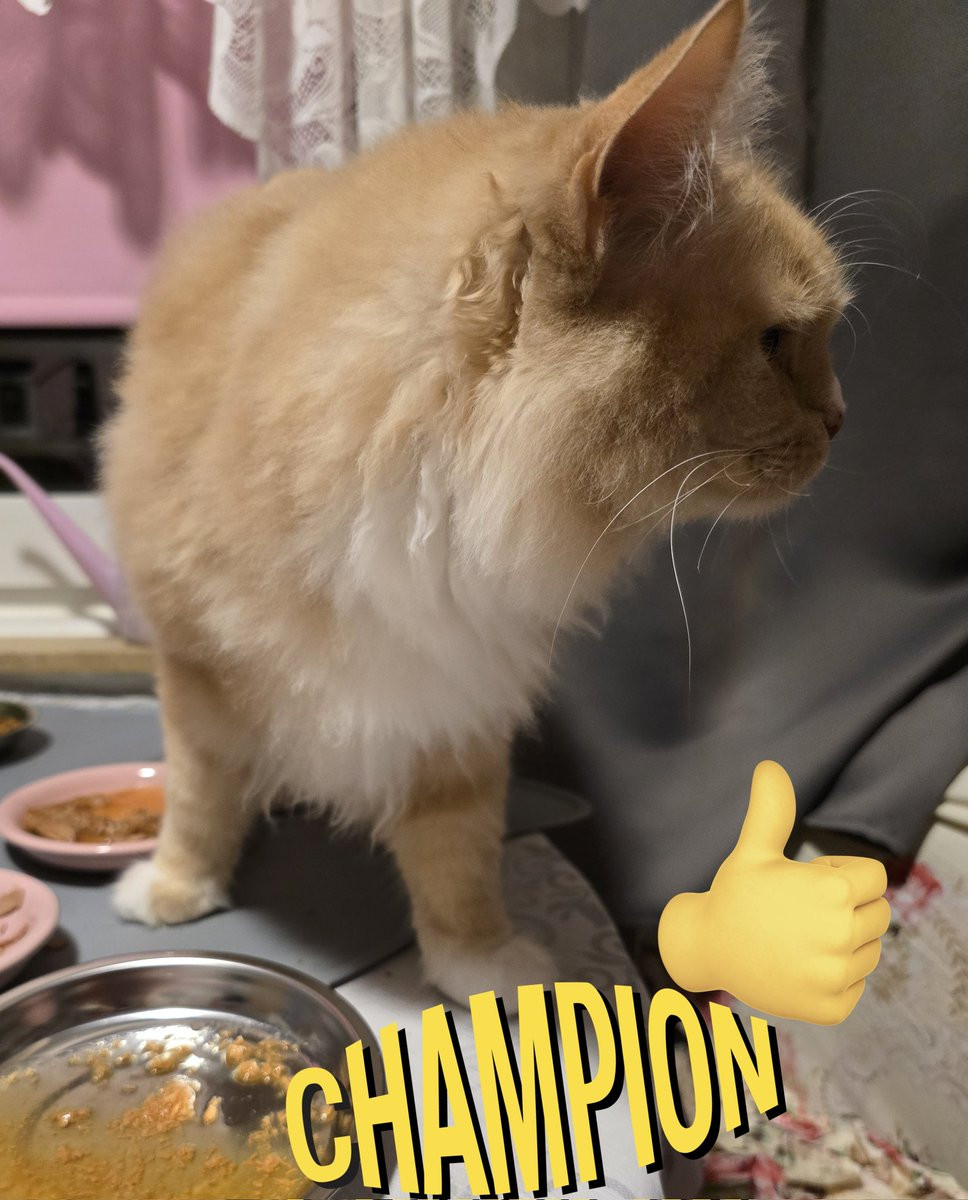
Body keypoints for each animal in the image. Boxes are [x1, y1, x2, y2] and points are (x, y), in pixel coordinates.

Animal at [103, 0, 848, 1007]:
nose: (842, 420)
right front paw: (178, 884)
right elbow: (198, 793)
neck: (431, 487)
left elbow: (457, 857)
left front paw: (478, 965)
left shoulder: (458, 693)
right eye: (777, 345)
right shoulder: (198, 668)